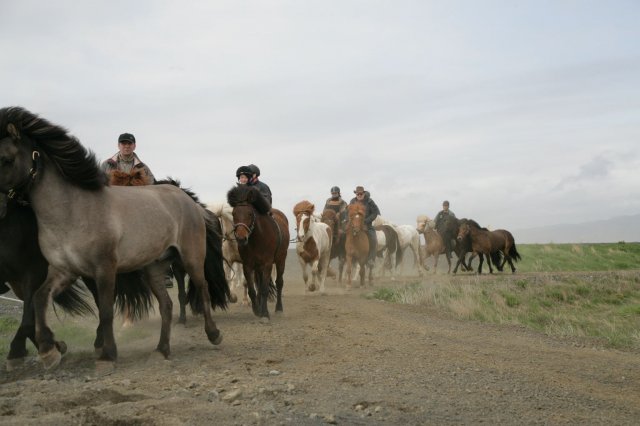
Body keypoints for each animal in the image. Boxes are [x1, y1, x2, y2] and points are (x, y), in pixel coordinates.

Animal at [224, 185, 286, 322]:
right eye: (234, 213)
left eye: (250, 213)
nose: (241, 238)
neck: (257, 238)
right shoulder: (247, 265)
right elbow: (253, 289)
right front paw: (257, 309)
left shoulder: (267, 264)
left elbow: (264, 289)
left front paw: (265, 314)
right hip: (258, 267)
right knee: (259, 283)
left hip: (280, 260)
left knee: (279, 282)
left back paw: (279, 308)